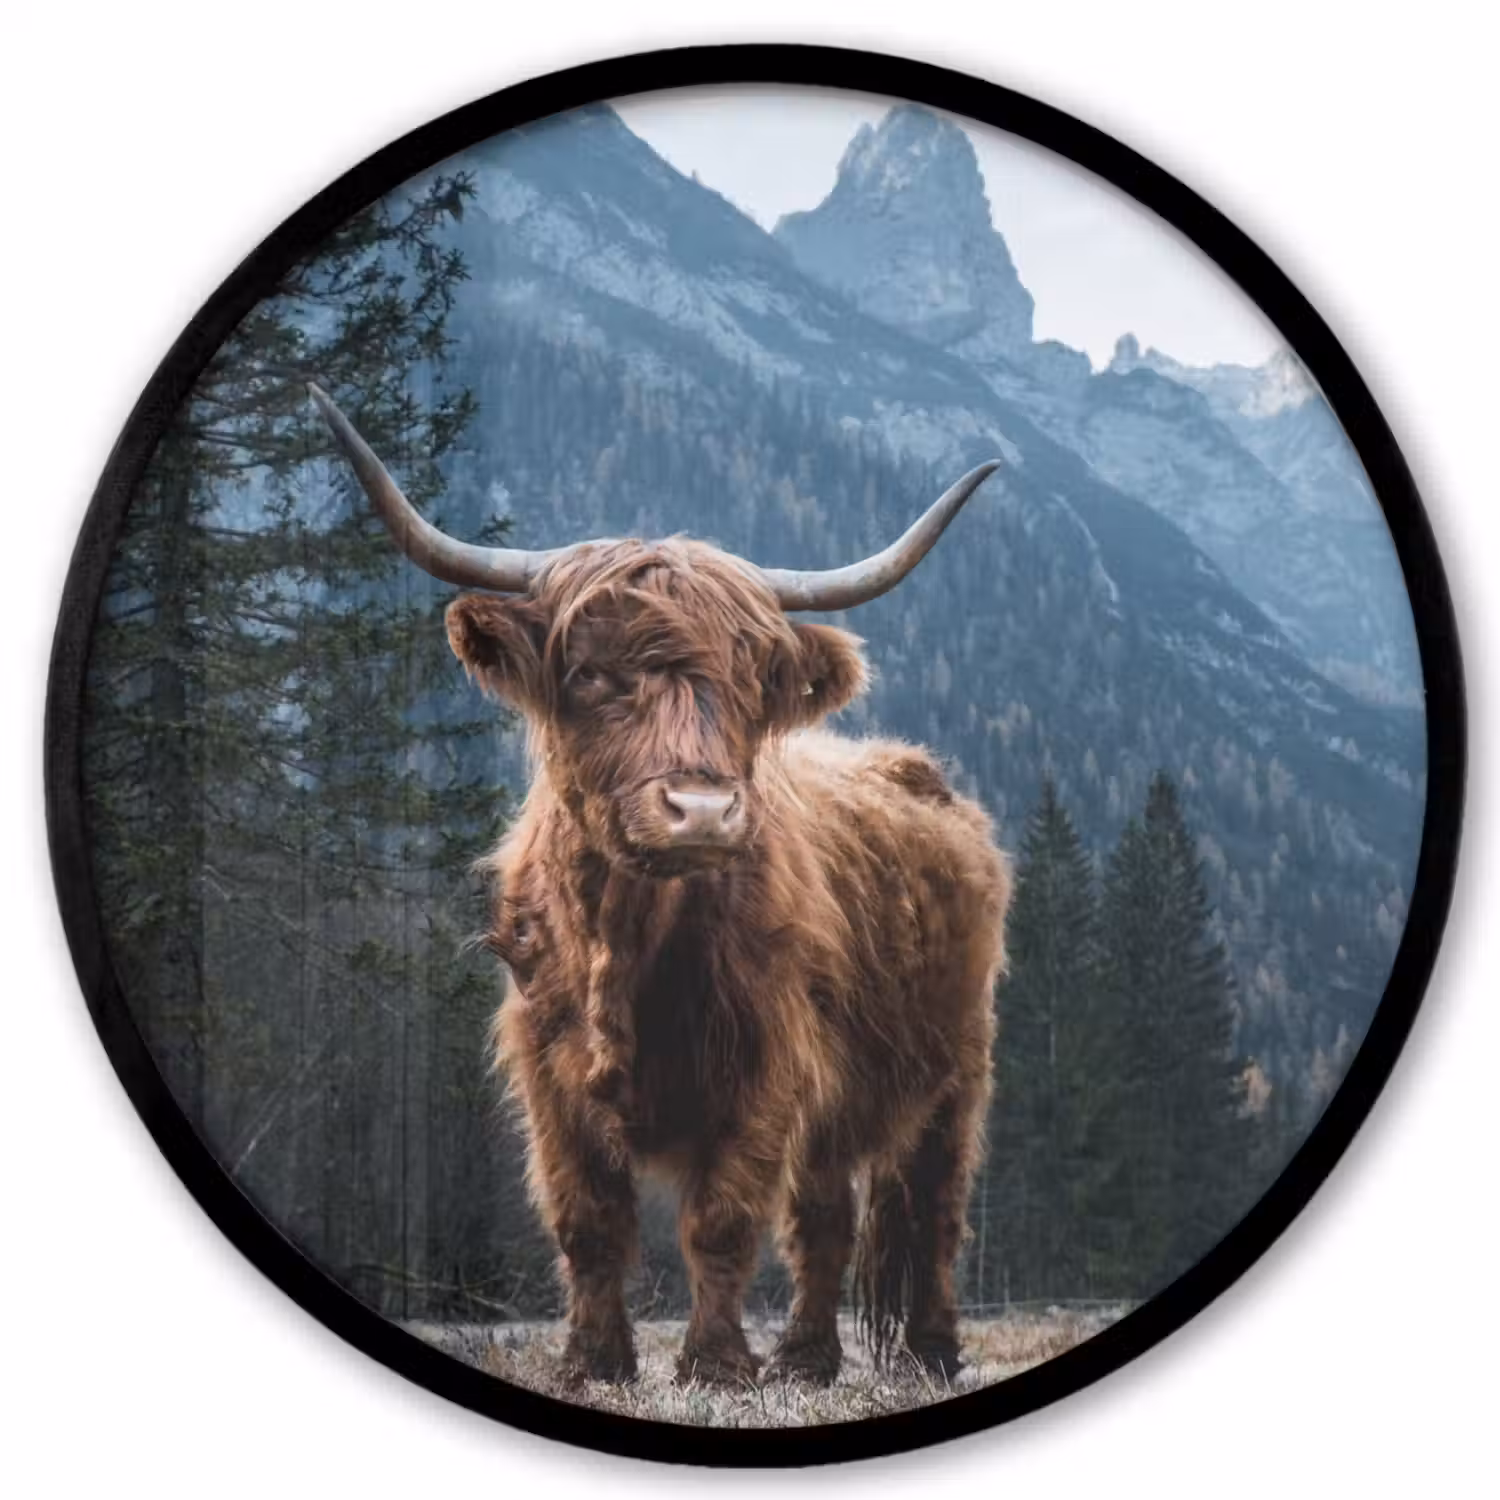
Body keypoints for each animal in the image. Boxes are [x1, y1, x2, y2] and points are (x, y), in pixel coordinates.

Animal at [310, 384, 1013, 1388]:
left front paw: (714, 1366)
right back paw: (805, 1360)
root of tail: (917, 771)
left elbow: (722, 1220)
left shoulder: (765, 1064)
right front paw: (593, 1362)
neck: (626, 939)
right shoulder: (548, 1072)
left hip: (958, 1066)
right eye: (592, 673)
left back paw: (931, 1354)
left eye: (752, 680)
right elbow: (588, 1222)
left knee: (935, 1209)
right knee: (827, 1219)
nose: (704, 810)